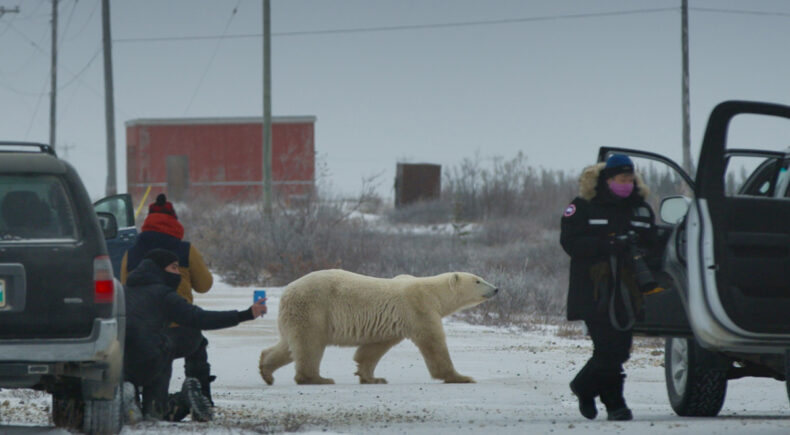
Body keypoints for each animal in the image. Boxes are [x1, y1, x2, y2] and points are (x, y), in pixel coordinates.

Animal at [258, 269, 498, 385]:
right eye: (478, 280)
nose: (496, 288)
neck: (433, 293)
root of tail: (286, 291)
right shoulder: (419, 309)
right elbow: (433, 344)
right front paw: (462, 377)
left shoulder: (393, 322)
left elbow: (373, 348)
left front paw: (372, 378)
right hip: (314, 308)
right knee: (310, 344)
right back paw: (317, 379)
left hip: (295, 315)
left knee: (289, 345)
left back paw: (266, 371)